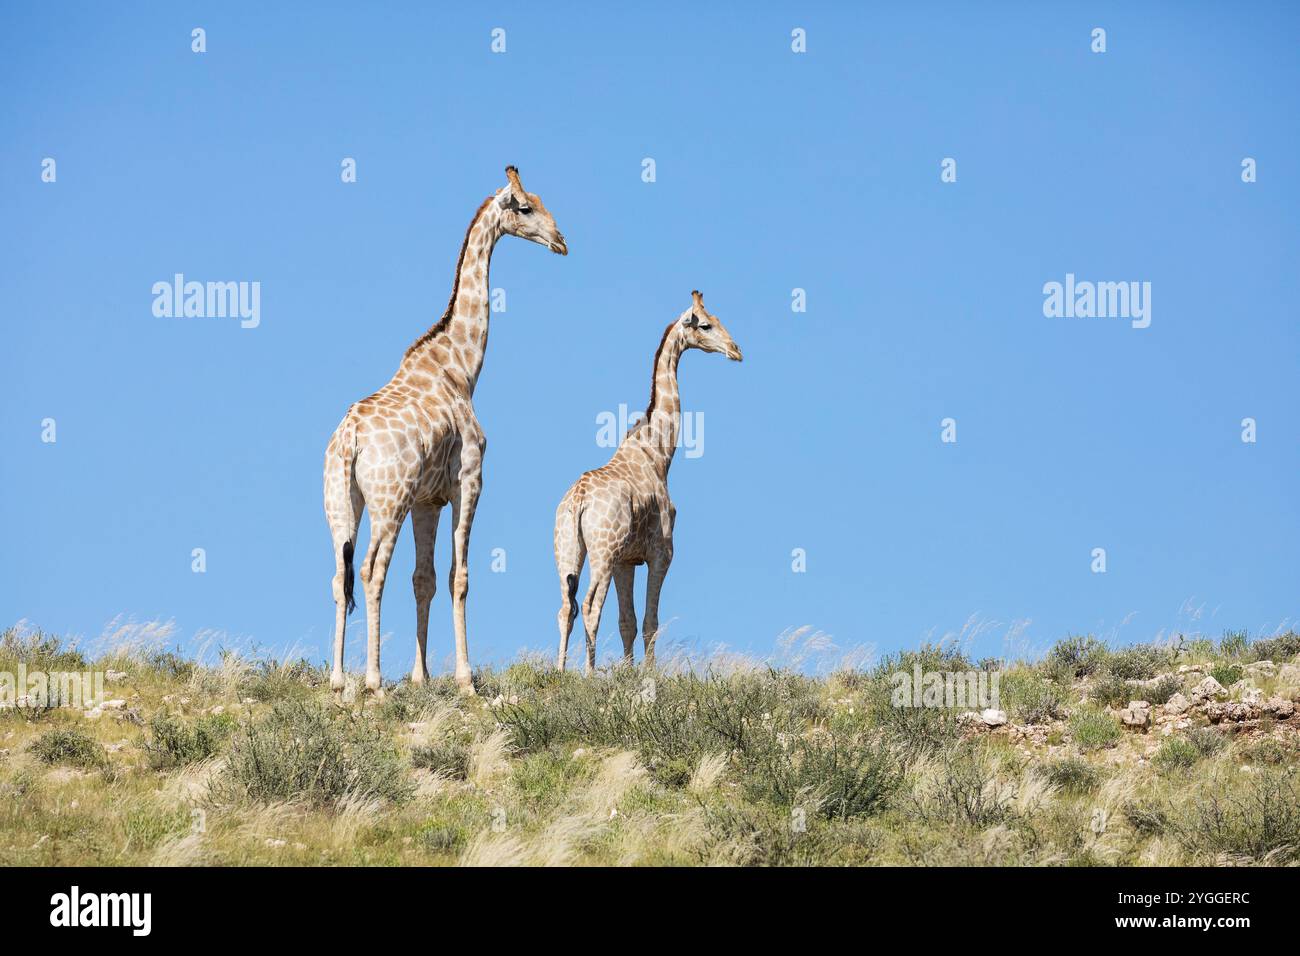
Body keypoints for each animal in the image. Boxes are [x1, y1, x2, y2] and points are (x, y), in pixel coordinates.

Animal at [323, 166, 564, 697]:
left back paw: (337, 677)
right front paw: (465, 679)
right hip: (387, 500)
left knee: (339, 575)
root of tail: (350, 440)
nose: (561, 241)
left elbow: (424, 578)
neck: (462, 367)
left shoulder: (427, 500)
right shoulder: (468, 481)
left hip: (341, 502)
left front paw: (421, 676)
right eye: (524, 207)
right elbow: (459, 576)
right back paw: (372, 681)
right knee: (370, 570)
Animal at [553, 291, 743, 671]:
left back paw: (560, 670)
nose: (736, 350)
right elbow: (650, 621)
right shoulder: (661, 553)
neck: (659, 452)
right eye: (705, 324)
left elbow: (627, 620)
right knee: (590, 606)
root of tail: (578, 500)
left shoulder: (627, 560)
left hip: (567, 548)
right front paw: (647, 674)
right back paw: (588, 672)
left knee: (566, 607)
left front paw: (627, 672)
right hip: (602, 551)